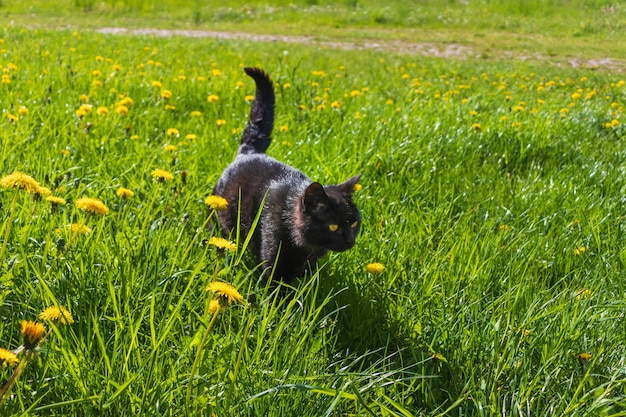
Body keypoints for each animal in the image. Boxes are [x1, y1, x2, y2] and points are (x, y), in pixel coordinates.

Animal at [213, 67, 360, 282]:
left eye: (354, 223)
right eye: (333, 226)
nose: (350, 240)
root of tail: (250, 151)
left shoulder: (308, 265)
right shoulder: (274, 259)